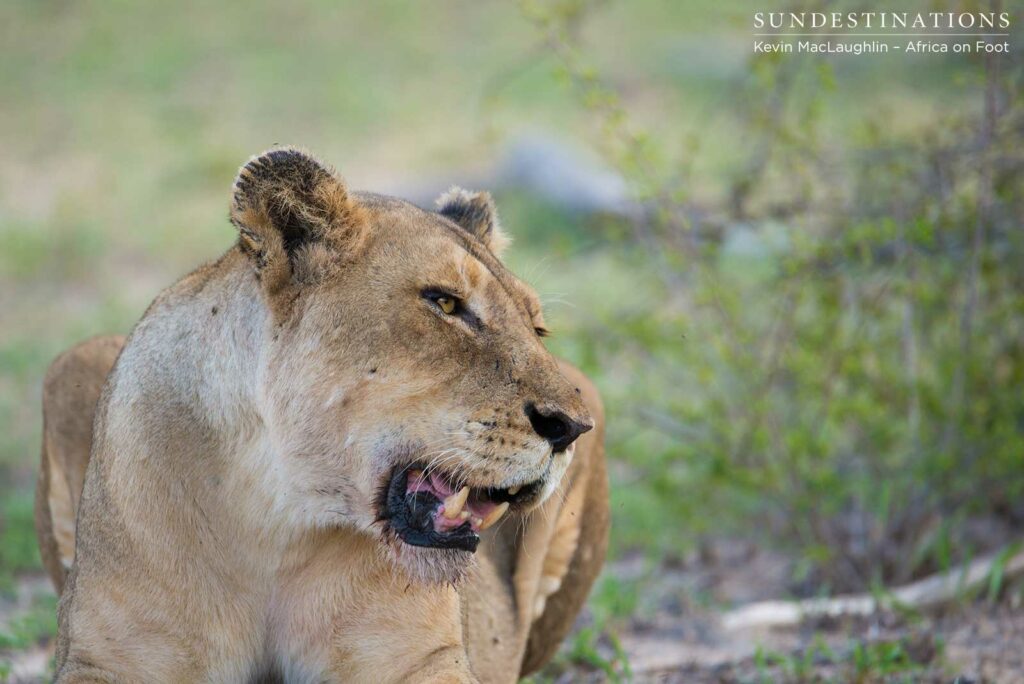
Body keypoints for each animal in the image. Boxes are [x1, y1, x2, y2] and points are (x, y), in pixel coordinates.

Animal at [34, 148, 609, 683]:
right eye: (445, 303)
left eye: (537, 329)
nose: (571, 429)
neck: (275, 514)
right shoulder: (105, 658)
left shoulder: (421, 657)